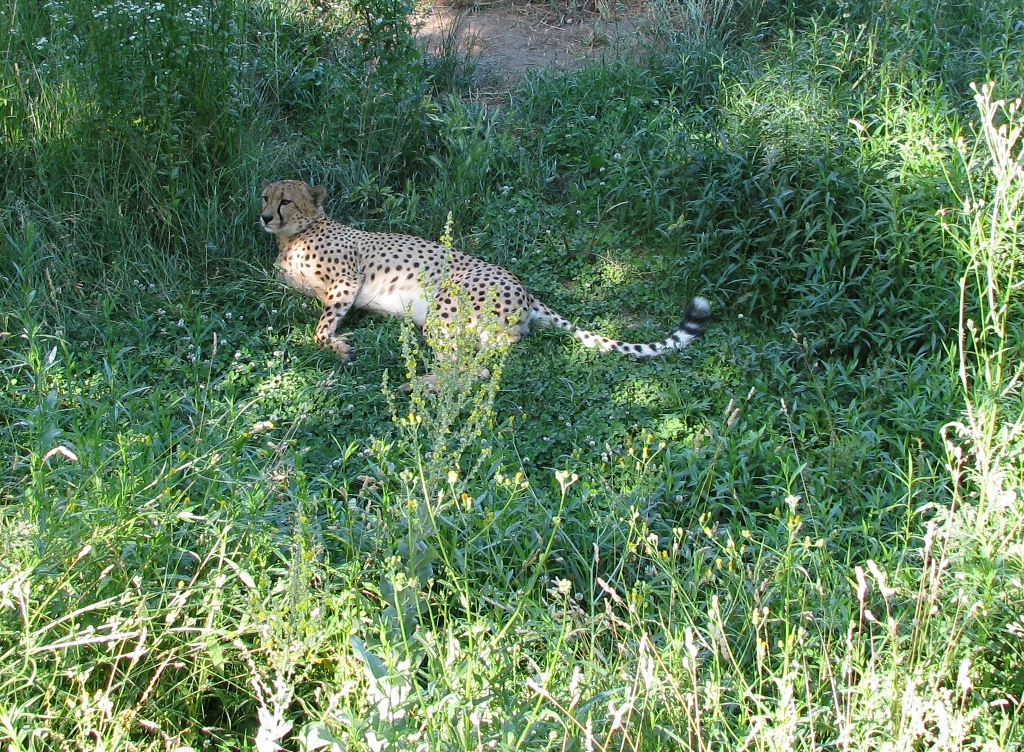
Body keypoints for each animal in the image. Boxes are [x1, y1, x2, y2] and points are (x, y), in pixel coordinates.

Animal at [260, 179, 711, 361]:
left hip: (444, 313)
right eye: (265, 196)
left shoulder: (346, 280)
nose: (264, 217)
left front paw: (336, 345)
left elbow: (320, 327)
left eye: (286, 201)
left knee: (473, 362)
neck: (296, 233)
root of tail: (524, 288)